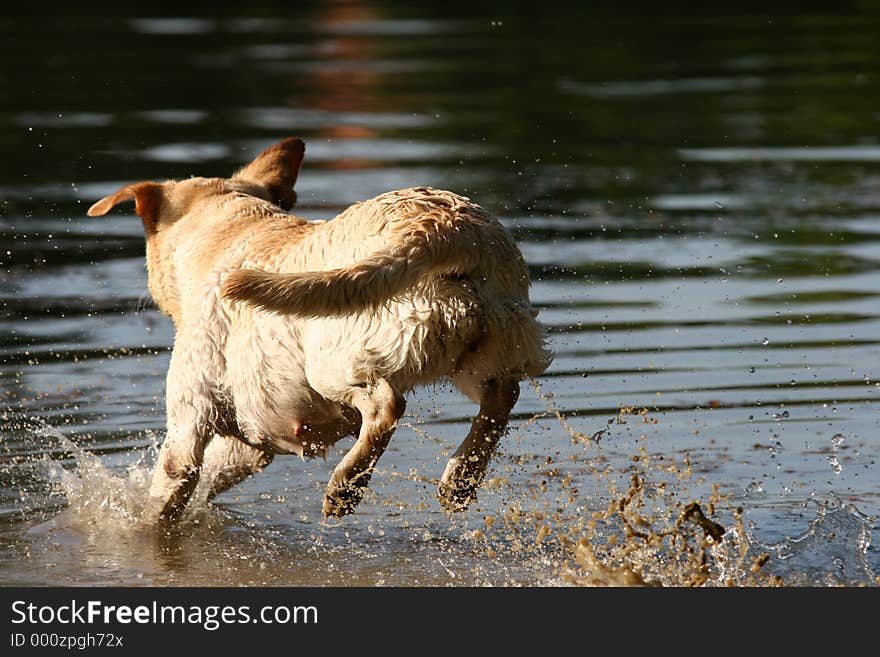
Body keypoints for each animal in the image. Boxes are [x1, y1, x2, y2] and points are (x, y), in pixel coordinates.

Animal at [87, 137, 552, 524]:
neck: (230, 230)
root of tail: (442, 228)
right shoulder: (248, 441)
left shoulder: (189, 423)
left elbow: (163, 499)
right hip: (484, 344)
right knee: (503, 395)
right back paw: (459, 479)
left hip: (334, 358)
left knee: (386, 406)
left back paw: (345, 489)